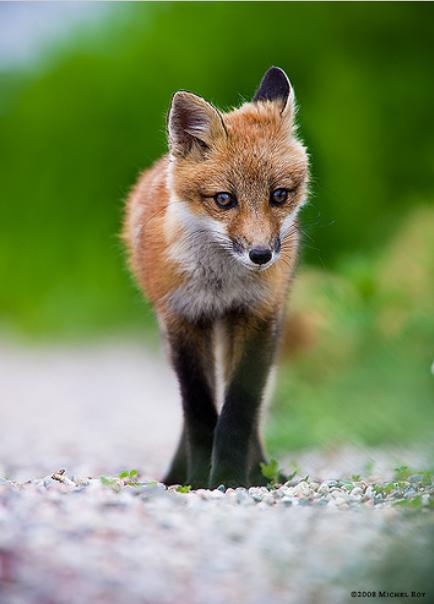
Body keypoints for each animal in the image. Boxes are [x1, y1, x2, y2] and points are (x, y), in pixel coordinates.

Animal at [124, 67, 310, 490]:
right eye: (224, 199)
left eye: (279, 195)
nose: (261, 255)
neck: (221, 286)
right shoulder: (183, 319)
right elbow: (198, 413)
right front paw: (197, 481)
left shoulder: (257, 315)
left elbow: (240, 409)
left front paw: (231, 477)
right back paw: (177, 474)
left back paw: (261, 472)